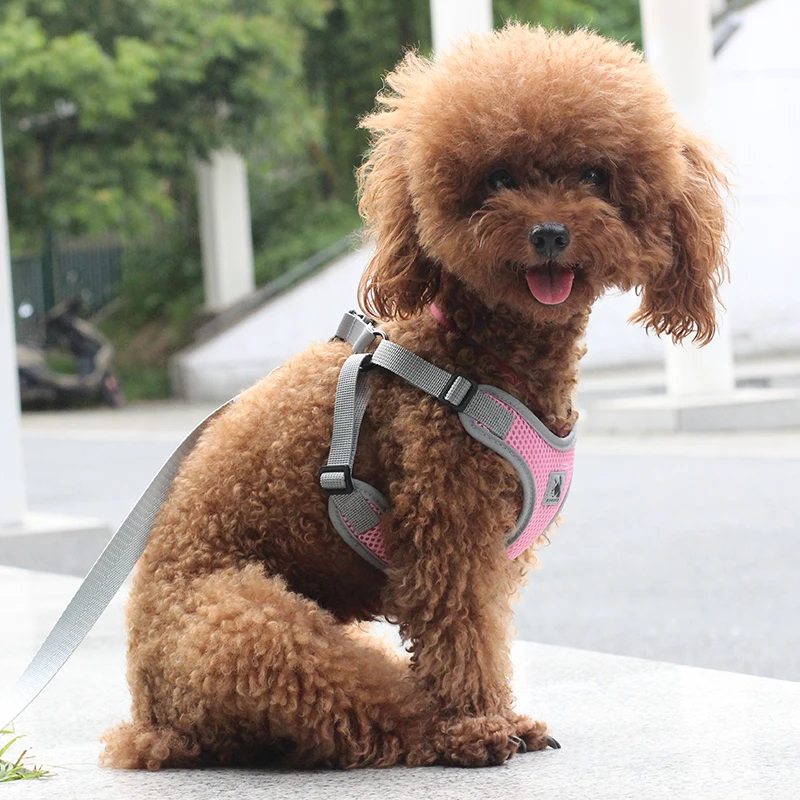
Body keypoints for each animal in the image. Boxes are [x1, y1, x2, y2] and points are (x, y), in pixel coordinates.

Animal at [102, 24, 727, 770]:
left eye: (595, 176)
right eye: (498, 178)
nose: (549, 233)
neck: (476, 355)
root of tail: (149, 721)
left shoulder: (488, 551)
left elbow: (485, 631)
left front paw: (503, 714)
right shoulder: (447, 521)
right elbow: (460, 632)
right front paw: (482, 720)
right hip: (252, 623)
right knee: (370, 709)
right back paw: (451, 735)